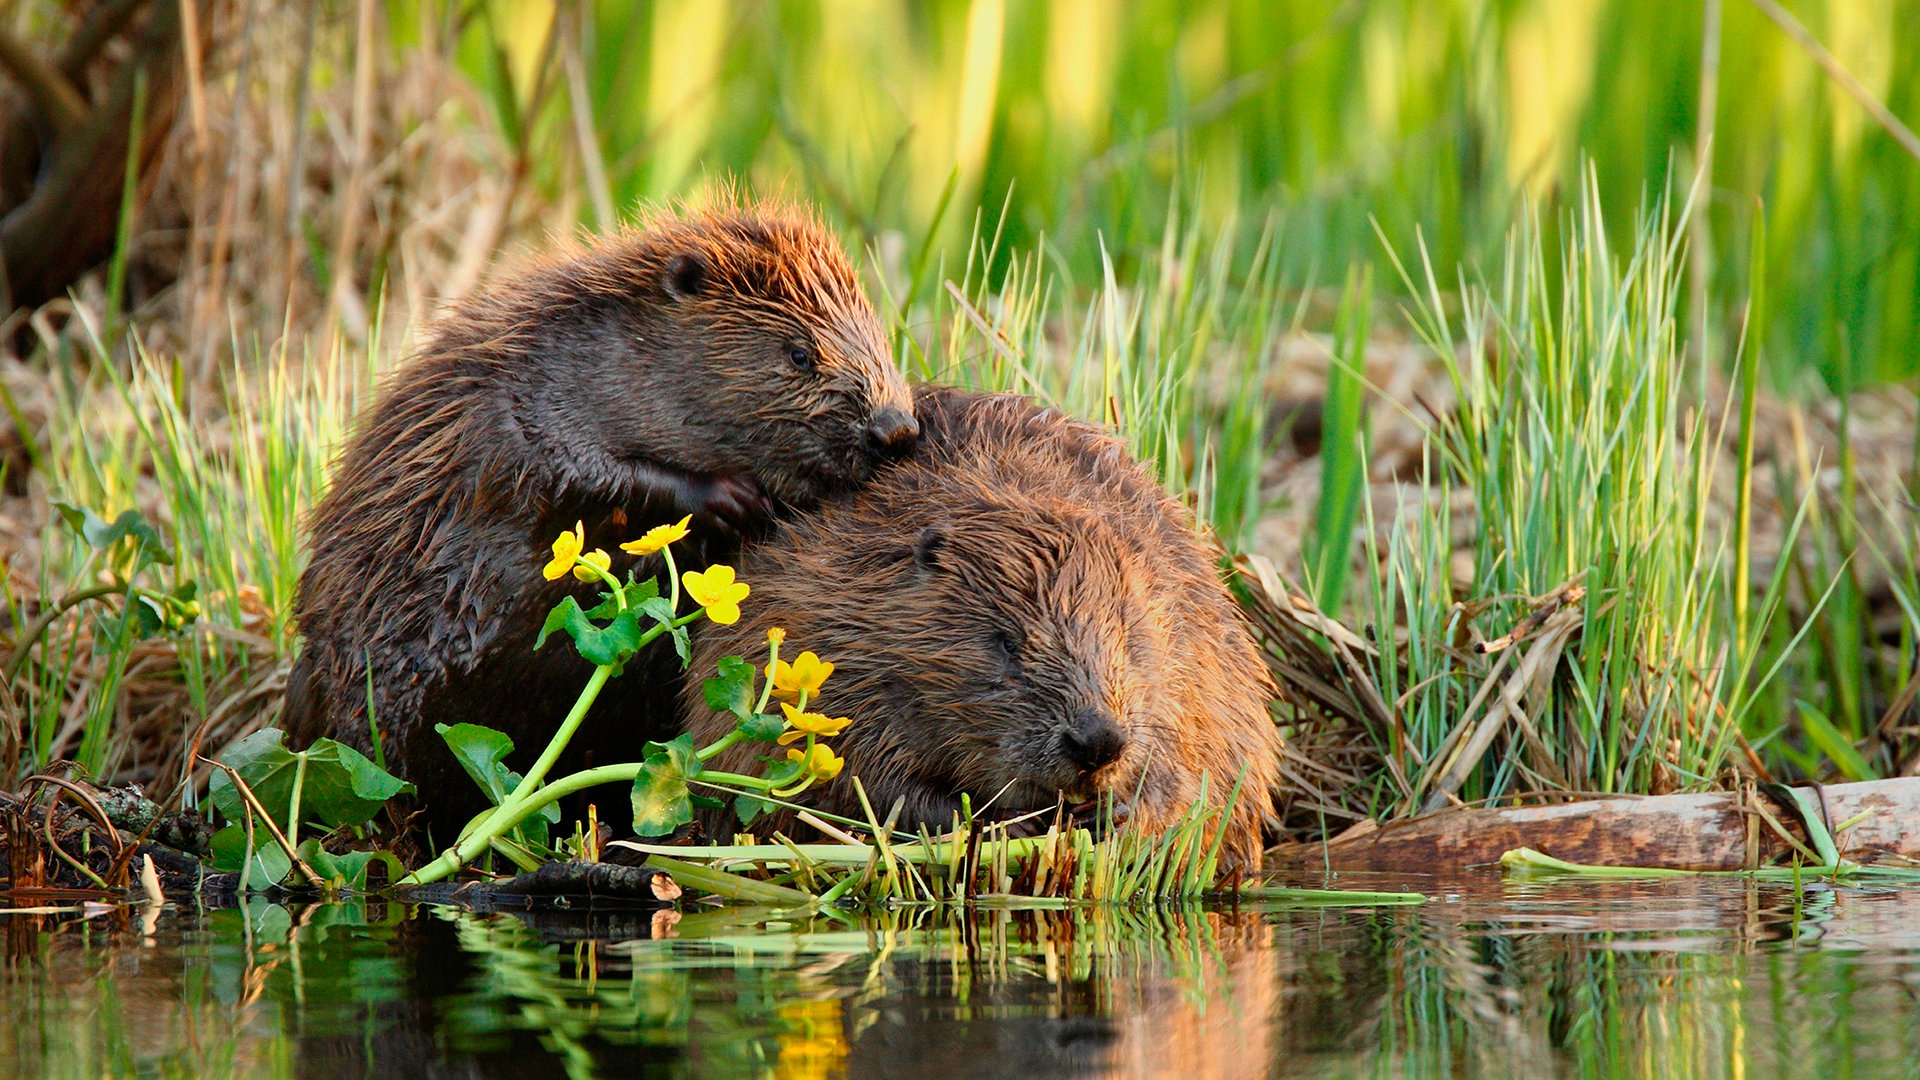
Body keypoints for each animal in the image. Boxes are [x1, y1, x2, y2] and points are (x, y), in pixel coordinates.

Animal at [280, 201, 917, 826]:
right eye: (799, 353)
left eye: (880, 336)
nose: (896, 428)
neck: (624, 351)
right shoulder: (525, 392)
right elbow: (567, 466)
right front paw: (731, 497)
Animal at [683, 384, 1282, 864]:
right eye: (1006, 644)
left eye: (1132, 643)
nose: (1097, 740)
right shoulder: (824, 615)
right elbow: (857, 777)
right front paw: (1001, 823)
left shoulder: (1194, 641)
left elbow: (1202, 768)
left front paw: (1119, 813)